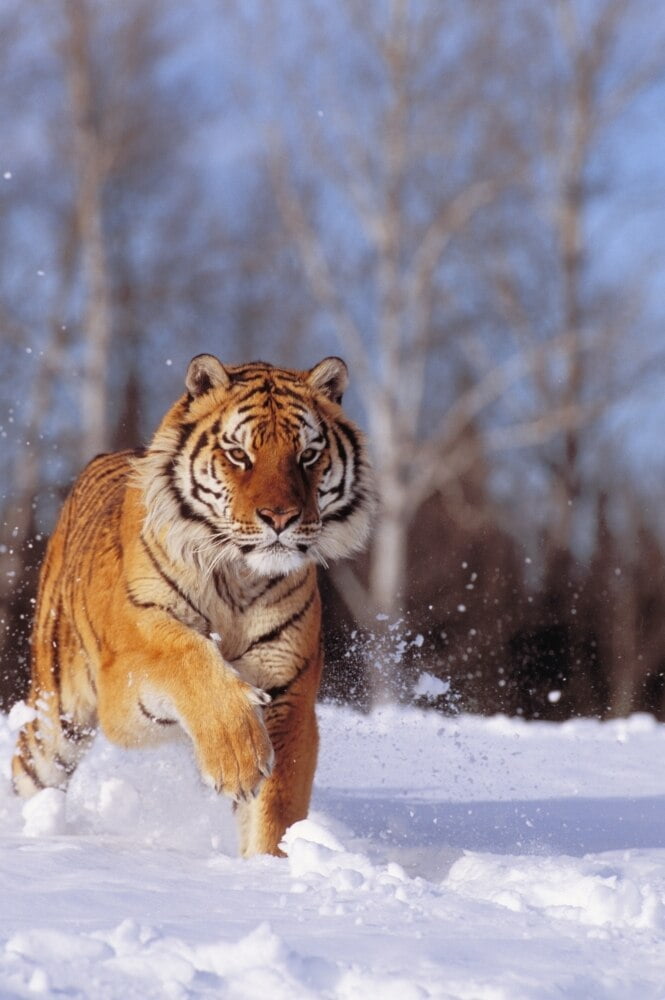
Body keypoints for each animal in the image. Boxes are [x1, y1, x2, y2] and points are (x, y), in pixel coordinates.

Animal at [11, 356, 374, 856]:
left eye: (307, 455)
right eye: (239, 454)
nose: (280, 518)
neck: (240, 576)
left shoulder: (290, 693)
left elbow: (276, 805)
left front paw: (270, 864)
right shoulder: (127, 676)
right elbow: (187, 656)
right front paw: (237, 757)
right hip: (56, 715)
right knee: (29, 767)